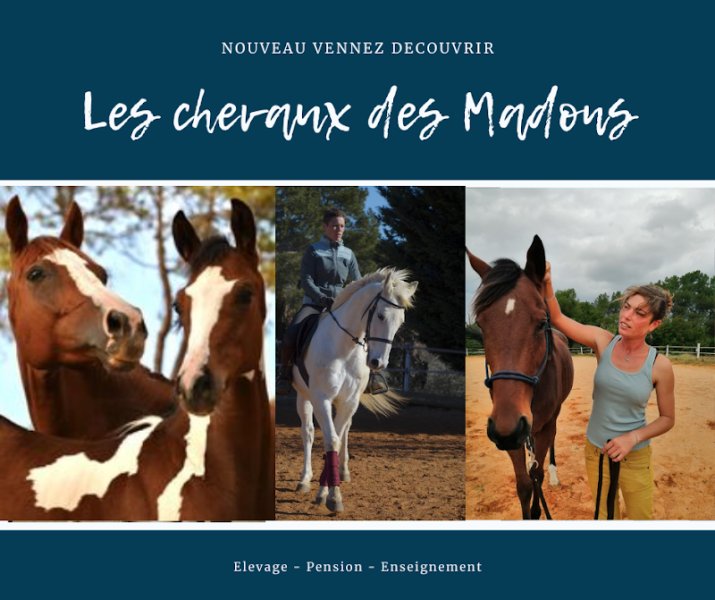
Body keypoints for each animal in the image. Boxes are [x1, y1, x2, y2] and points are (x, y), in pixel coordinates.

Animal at [293, 268, 418, 512]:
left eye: (400, 322)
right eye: (380, 316)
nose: (378, 363)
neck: (344, 348)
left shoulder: (349, 401)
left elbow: (338, 437)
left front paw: (329, 492)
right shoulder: (321, 398)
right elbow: (330, 440)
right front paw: (330, 495)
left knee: (345, 430)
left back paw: (343, 471)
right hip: (303, 396)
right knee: (308, 433)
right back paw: (304, 479)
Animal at [467, 235, 573, 519]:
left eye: (541, 323)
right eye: (481, 325)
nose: (509, 426)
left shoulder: (540, 426)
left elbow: (536, 475)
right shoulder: (510, 433)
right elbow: (524, 485)